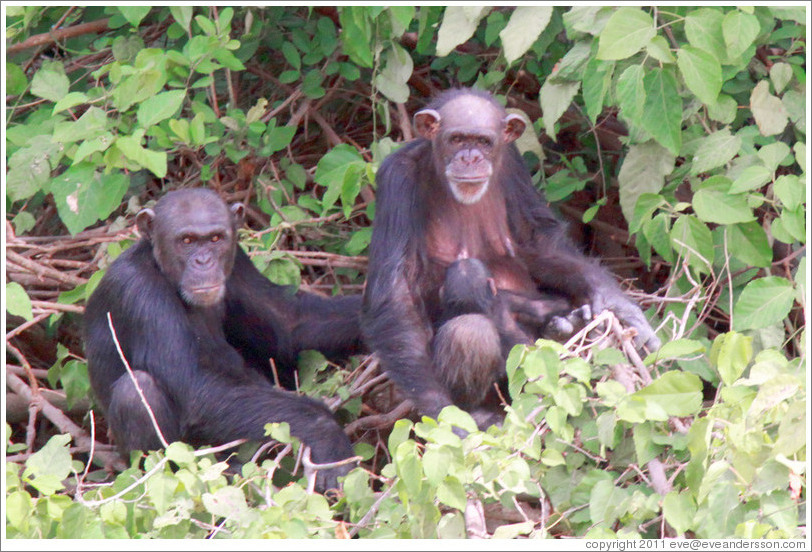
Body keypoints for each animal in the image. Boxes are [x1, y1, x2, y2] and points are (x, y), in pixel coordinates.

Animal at [85, 189, 362, 488]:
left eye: (216, 239)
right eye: (186, 241)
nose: (203, 261)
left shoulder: (238, 260)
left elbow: (290, 323)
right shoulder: (138, 292)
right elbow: (195, 387)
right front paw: (327, 433)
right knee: (136, 392)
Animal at [364, 86, 660, 424]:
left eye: (484, 141)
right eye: (456, 139)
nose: (470, 157)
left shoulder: (514, 164)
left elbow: (535, 242)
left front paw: (617, 305)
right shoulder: (396, 179)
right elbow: (396, 294)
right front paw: (447, 416)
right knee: (469, 332)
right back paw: (479, 410)